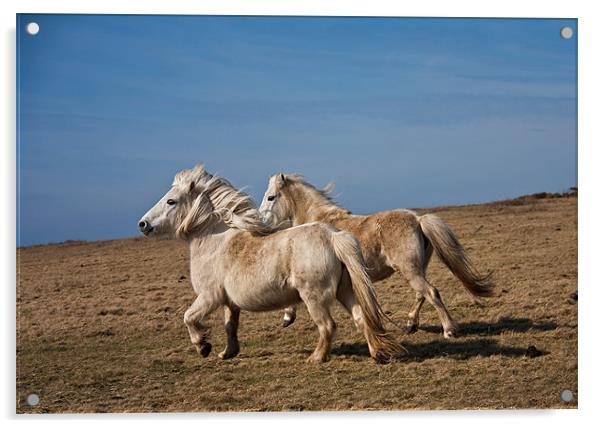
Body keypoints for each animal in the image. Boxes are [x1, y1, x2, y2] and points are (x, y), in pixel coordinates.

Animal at [137, 166, 404, 362]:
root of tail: (332, 236)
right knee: (361, 319)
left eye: (171, 201)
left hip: (314, 297)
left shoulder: (209, 297)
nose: (143, 224)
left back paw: (316, 358)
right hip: (345, 291)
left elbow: (189, 317)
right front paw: (227, 353)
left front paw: (203, 346)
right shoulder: (228, 302)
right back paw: (377, 353)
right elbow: (230, 326)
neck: (216, 241)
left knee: (328, 326)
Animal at [258, 174, 492, 338]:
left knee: (431, 293)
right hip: (417, 270)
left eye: (271, 197)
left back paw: (449, 330)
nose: (261, 223)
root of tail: (418, 220)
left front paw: (287, 316)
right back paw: (411, 325)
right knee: (422, 295)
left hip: (410, 270)